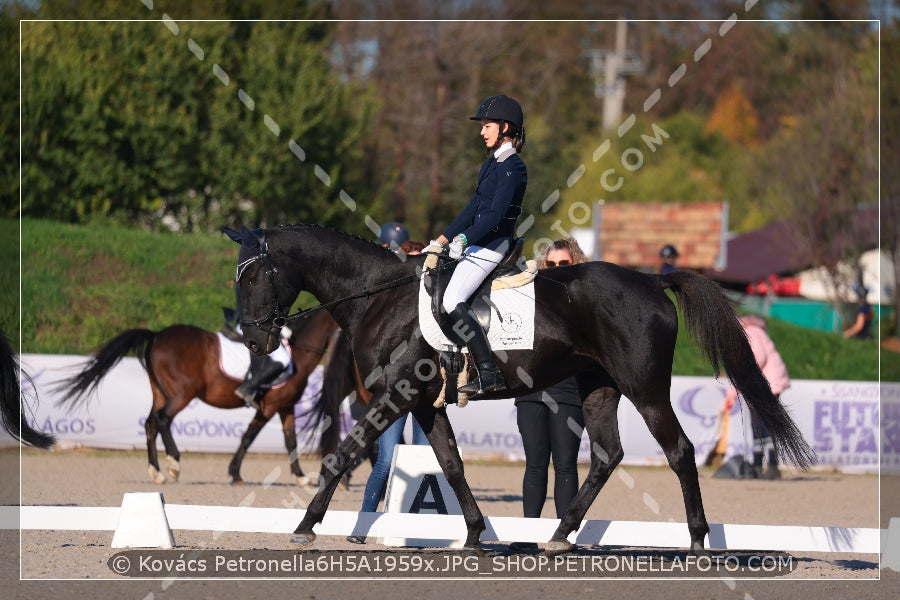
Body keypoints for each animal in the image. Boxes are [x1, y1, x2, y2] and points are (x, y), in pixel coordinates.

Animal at [53, 310, 342, 488]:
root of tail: (157, 335)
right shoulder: (269, 406)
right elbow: (248, 437)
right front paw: (235, 474)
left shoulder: (285, 407)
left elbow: (291, 441)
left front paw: (301, 478)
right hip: (182, 394)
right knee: (162, 420)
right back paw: (173, 464)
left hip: (161, 393)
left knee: (150, 424)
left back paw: (157, 473)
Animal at [227, 226, 816, 556]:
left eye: (253, 277)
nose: (255, 340)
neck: (379, 297)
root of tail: (651, 279)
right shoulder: (422, 404)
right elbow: (451, 464)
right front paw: (473, 534)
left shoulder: (393, 397)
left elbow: (343, 454)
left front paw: (305, 525)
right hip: (600, 387)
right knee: (608, 455)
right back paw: (559, 535)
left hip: (645, 388)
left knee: (680, 451)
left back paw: (695, 541)